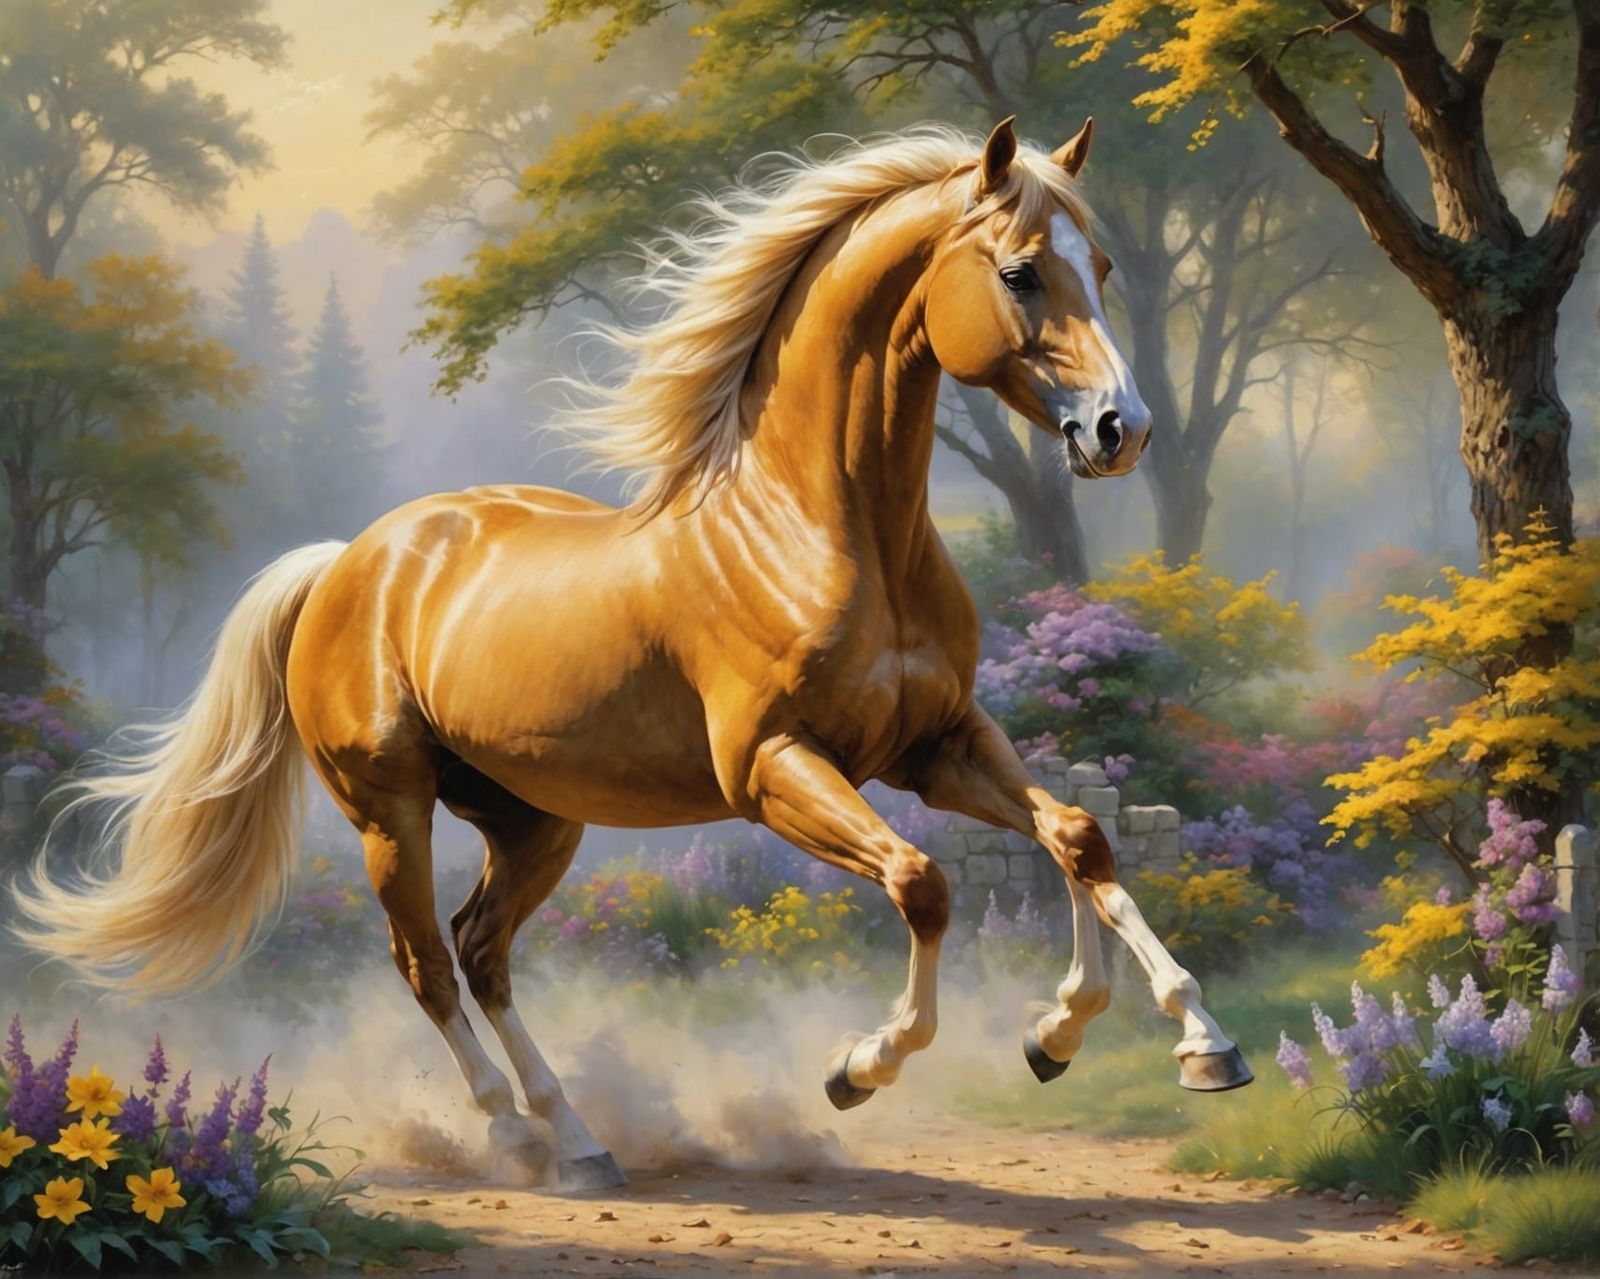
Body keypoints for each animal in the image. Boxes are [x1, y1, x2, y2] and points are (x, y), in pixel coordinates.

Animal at [15, 118, 1251, 1191]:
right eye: (1022, 272)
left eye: (1099, 262)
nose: (1120, 430)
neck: (820, 525)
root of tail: (351, 562)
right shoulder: (773, 769)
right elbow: (924, 881)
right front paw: (861, 1064)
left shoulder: (938, 743)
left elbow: (1077, 837)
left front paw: (1138, 1038)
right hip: (390, 810)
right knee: (426, 964)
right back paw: (517, 1139)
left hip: (532, 818)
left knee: (481, 950)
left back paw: (578, 1139)